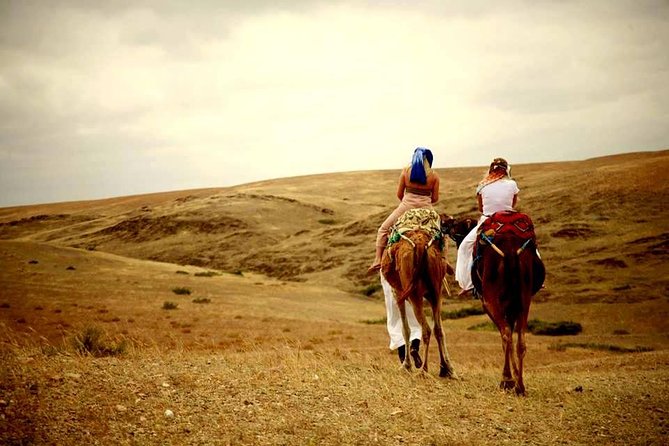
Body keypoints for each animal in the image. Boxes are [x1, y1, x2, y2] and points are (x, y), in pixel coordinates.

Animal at [380, 228, 454, 378]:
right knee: (438, 329)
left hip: (415, 294)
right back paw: (445, 368)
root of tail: (420, 245)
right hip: (436, 291)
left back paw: (423, 370)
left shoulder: (397, 293)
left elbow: (405, 329)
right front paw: (448, 367)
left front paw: (406, 365)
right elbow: (439, 328)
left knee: (426, 329)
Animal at [470, 211, 544, 396]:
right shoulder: (512, 306)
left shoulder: (492, 303)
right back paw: (520, 386)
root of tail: (510, 249)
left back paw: (507, 380)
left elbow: (505, 337)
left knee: (505, 333)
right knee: (521, 340)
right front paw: (516, 378)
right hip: (524, 297)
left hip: (491, 298)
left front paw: (509, 378)